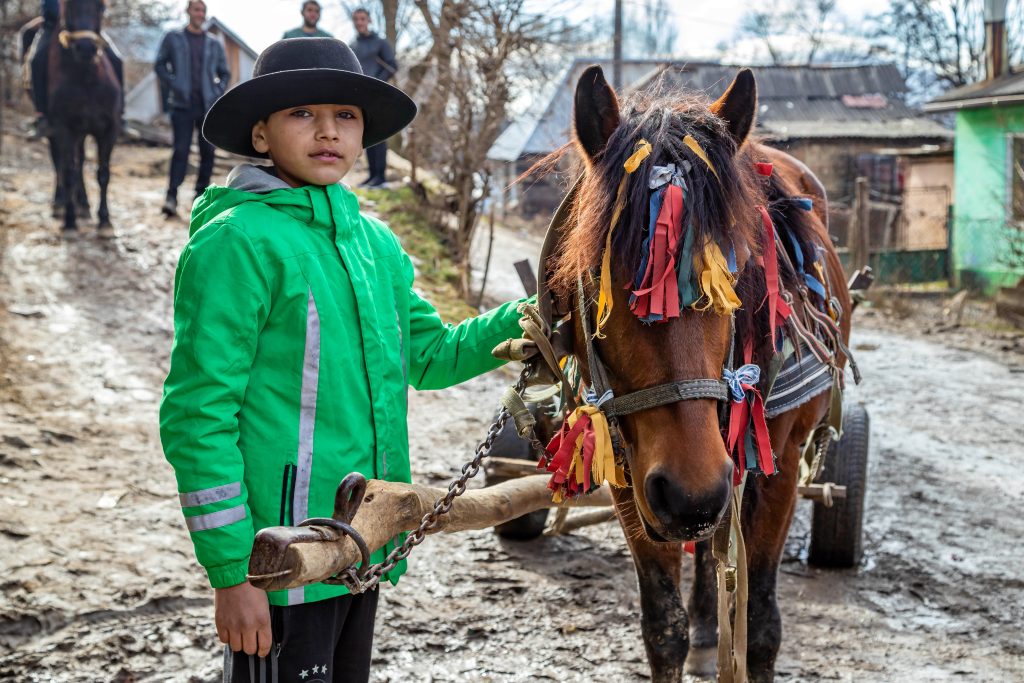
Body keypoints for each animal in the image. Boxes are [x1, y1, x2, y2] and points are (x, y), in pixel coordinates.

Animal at [21, 0, 120, 235]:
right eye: (70, 6)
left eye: (101, 7)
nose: (85, 48)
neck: (87, 78)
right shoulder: (63, 129)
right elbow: (67, 171)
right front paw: (70, 220)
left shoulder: (108, 129)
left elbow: (103, 173)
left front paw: (104, 221)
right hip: (57, 131)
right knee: (59, 161)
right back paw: (60, 203)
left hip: (82, 132)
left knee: (80, 161)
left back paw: (83, 203)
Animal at [536, 65, 856, 683]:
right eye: (600, 273)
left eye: (733, 275)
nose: (691, 494)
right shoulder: (631, 470)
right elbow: (664, 627)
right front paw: (689, 627)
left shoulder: (776, 463)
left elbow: (760, 624)